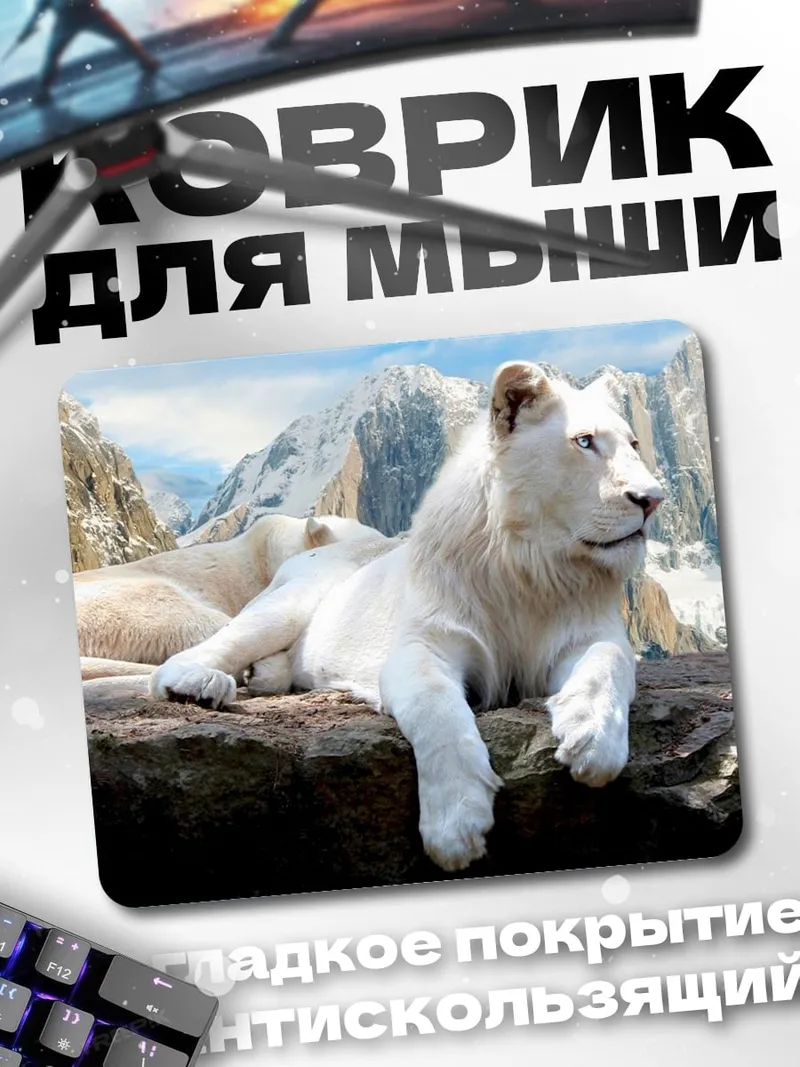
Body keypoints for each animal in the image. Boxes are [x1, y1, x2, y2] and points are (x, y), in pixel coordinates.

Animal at [149, 361, 664, 871]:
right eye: (584, 442)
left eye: (635, 444)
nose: (653, 499)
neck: (532, 566)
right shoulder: (423, 645)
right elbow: (438, 710)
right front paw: (456, 824)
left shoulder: (590, 635)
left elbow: (607, 664)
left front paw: (593, 739)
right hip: (285, 606)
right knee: (187, 659)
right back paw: (199, 685)